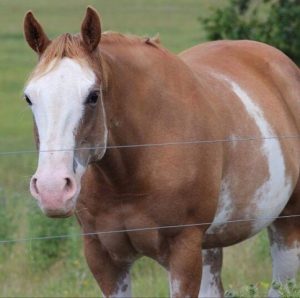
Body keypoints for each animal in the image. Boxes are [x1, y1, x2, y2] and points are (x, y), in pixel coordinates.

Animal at [23, 7, 300, 298]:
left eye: (93, 95)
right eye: (29, 97)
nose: (52, 189)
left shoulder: (183, 253)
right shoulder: (104, 259)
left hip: (287, 225)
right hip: (210, 245)